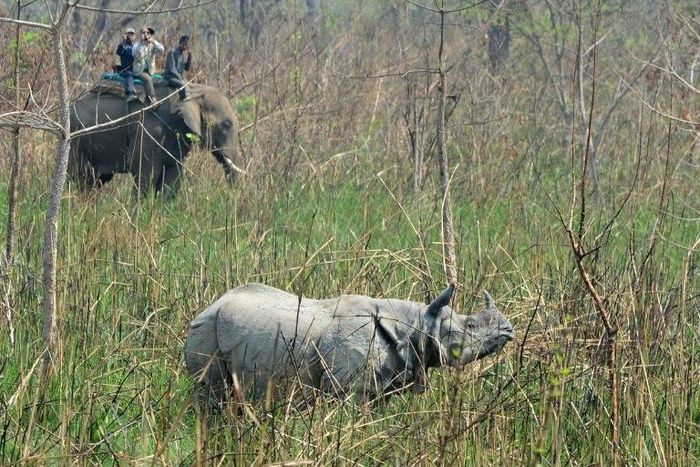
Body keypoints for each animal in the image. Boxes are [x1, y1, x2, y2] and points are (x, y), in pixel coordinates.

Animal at [185, 283, 514, 403]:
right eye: (470, 326)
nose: (509, 330)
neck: (415, 325)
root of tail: (212, 304)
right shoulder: (351, 389)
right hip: (207, 329)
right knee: (209, 395)